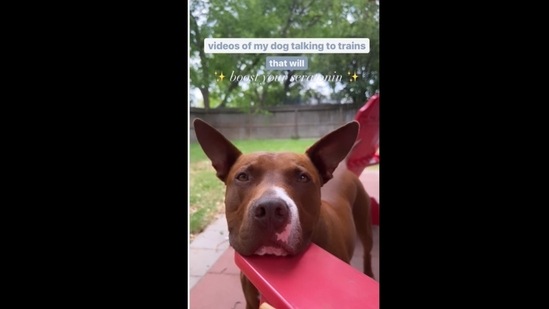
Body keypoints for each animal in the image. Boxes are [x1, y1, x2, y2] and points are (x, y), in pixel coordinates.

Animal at [193, 118, 372, 308]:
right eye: (242, 176)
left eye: (303, 177)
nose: (271, 209)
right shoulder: (251, 302)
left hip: (364, 225)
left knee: (367, 250)